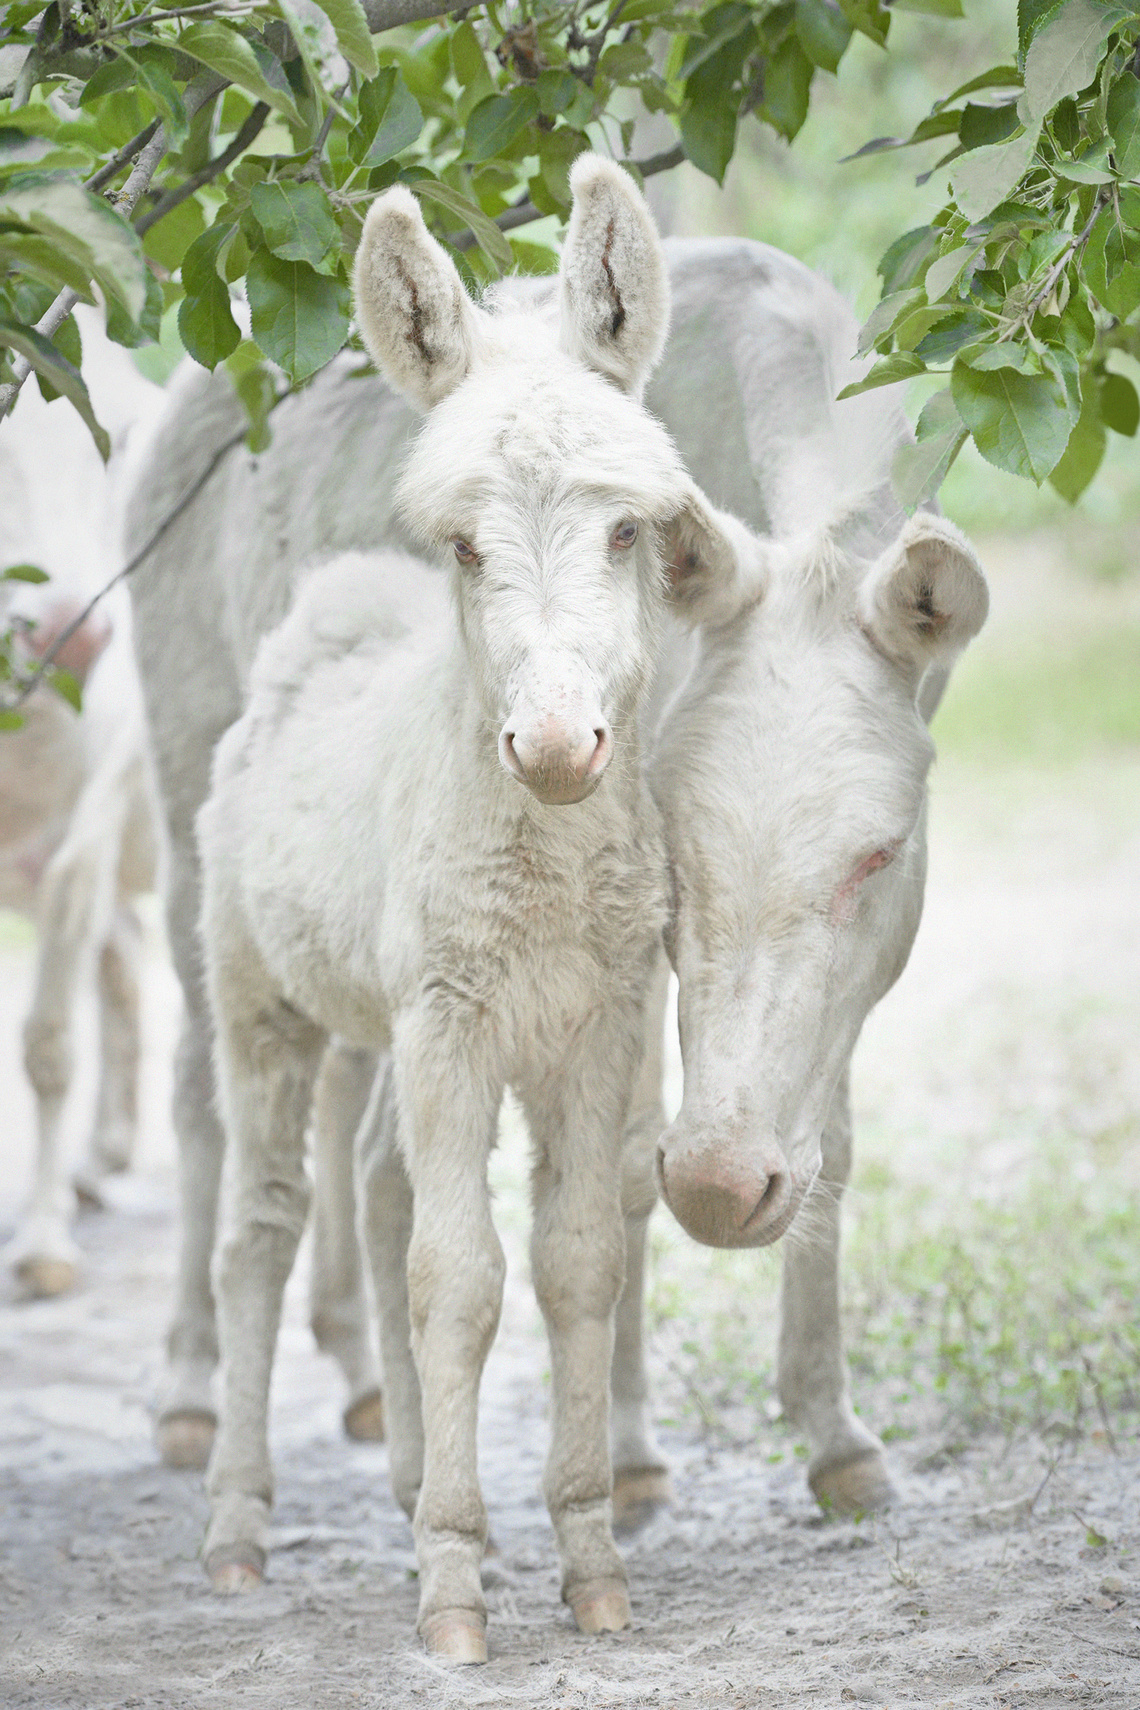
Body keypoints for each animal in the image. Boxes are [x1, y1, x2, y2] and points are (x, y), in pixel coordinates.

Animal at [193, 157, 734, 1655]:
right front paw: (453, 1587)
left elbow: (577, 1262)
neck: (544, 868)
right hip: (261, 1001)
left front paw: (586, 1559)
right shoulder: (454, 1023)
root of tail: (324, 623)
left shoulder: (599, 1023)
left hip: (393, 1024)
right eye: (465, 547)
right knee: (264, 1229)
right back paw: (239, 1524)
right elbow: (463, 1277)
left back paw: (404, 1476)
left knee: (376, 1179)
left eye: (627, 530)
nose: (553, 748)